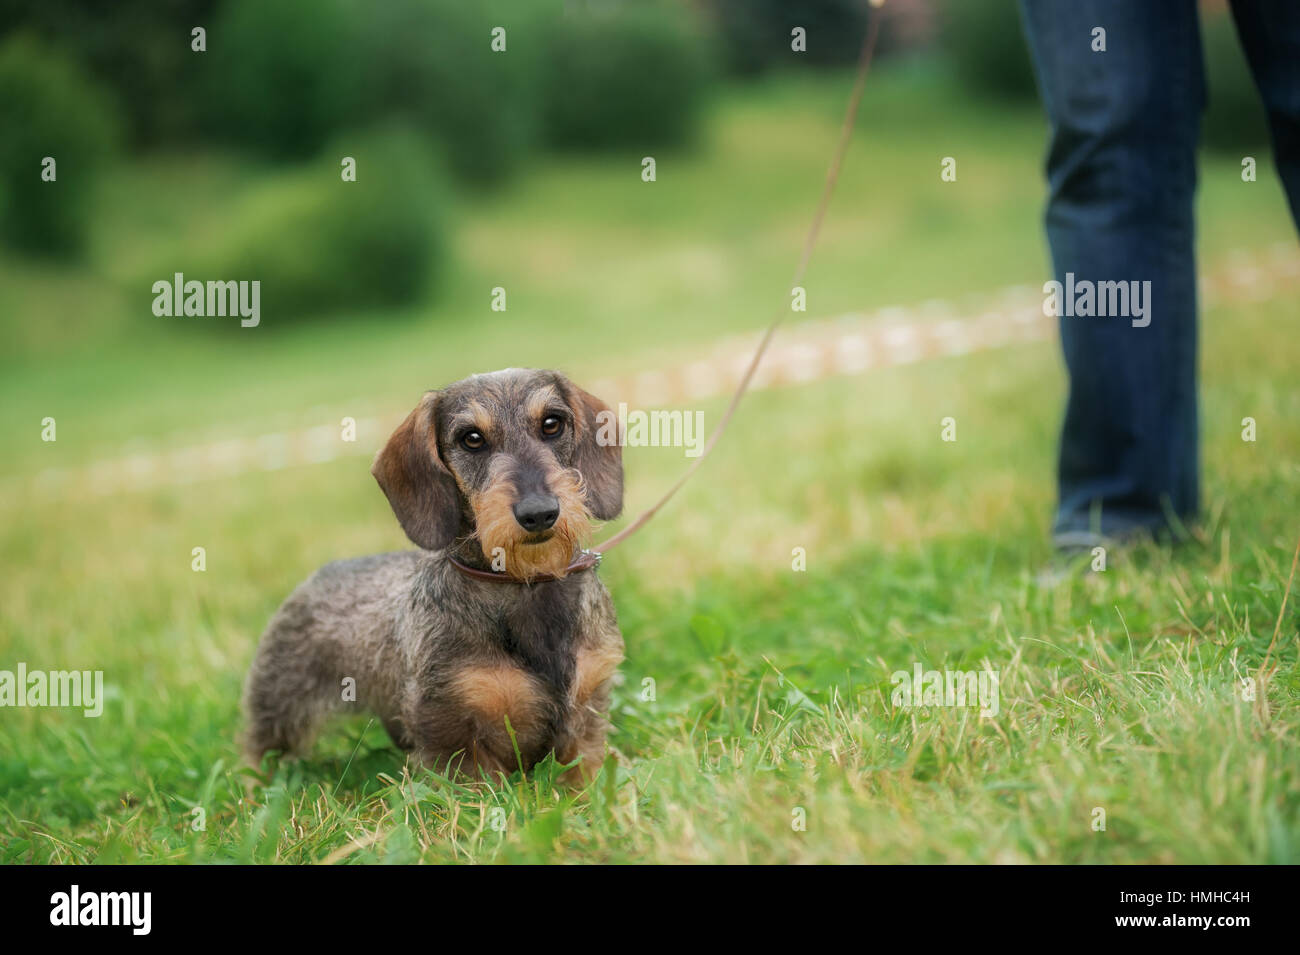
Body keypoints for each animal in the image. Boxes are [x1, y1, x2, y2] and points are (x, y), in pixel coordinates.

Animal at [246, 369, 629, 779]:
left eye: (552, 423)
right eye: (471, 438)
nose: (539, 513)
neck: (523, 583)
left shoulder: (586, 715)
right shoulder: (453, 731)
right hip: (279, 714)